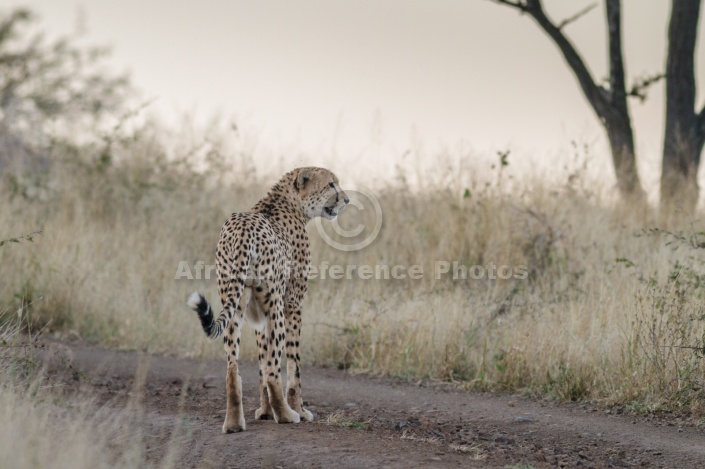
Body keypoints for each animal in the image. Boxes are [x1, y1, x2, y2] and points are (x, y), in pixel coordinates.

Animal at [186, 165, 348, 432]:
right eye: (331, 184)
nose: (346, 200)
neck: (291, 203)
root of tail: (242, 229)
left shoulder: (257, 314)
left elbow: (261, 361)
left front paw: (264, 411)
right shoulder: (292, 304)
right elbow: (293, 364)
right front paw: (298, 410)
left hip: (234, 306)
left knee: (233, 367)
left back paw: (234, 423)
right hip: (276, 307)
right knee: (273, 367)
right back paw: (286, 415)